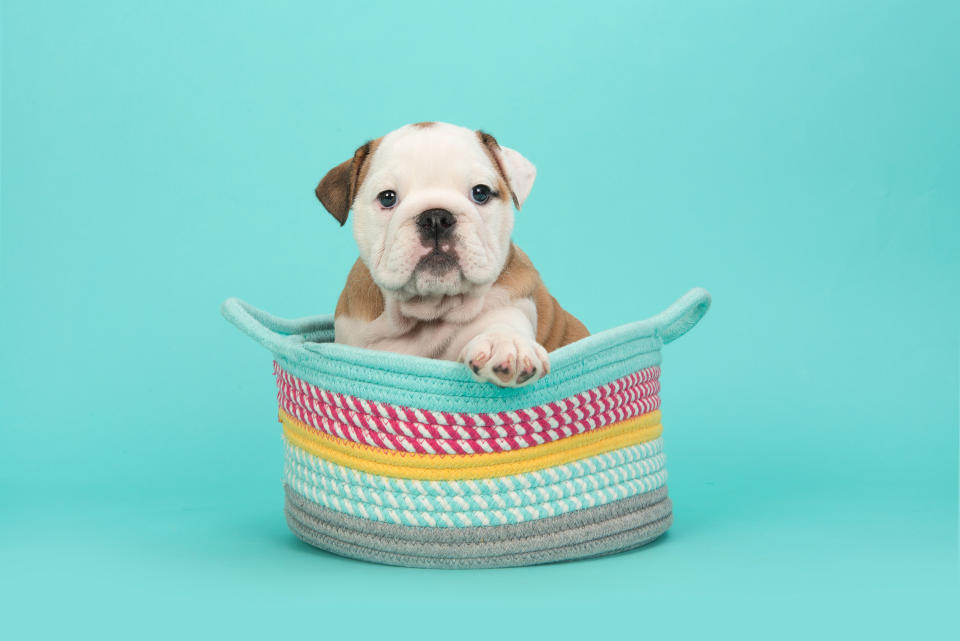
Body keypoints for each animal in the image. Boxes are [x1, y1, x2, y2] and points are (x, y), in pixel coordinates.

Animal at [316, 122, 588, 388]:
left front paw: (506, 344)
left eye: (481, 192)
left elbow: (504, 324)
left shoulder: (512, 304)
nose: (436, 217)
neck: (429, 312)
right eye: (387, 198)